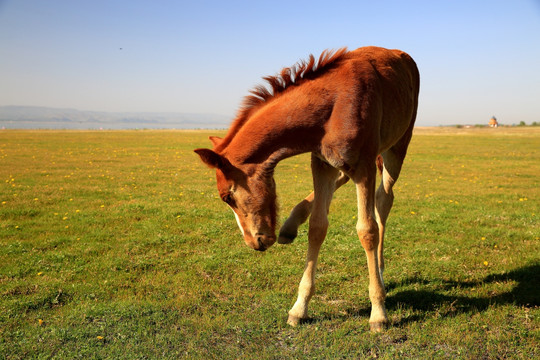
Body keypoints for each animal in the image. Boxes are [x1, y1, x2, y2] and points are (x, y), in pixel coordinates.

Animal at [196, 45, 420, 332]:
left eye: (227, 197)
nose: (253, 242)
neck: (331, 108)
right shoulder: (321, 163)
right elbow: (317, 227)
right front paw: (298, 308)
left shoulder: (365, 166)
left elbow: (367, 230)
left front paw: (378, 313)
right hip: (342, 162)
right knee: (345, 182)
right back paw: (290, 226)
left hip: (397, 148)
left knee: (384, 199)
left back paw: (379, 271)